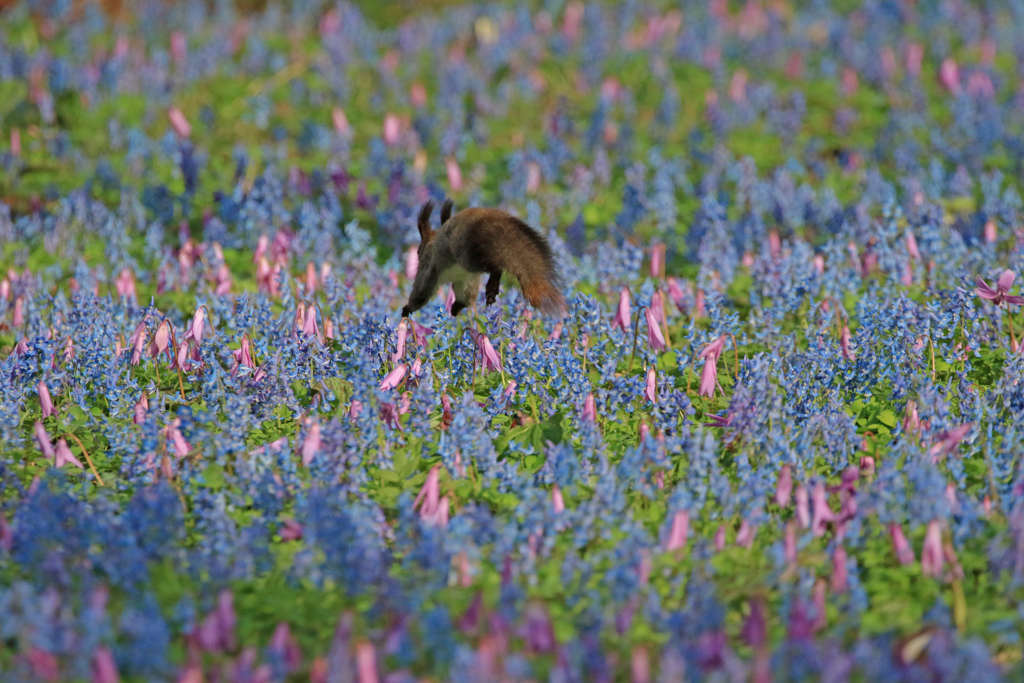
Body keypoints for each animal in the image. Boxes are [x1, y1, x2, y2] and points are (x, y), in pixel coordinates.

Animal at [399, 198, 565, 319]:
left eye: (418, 250)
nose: (417, 256)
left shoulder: (428, 269)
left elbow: (421, 292)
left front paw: (407, 309)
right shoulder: (465, 278)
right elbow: (465, 293)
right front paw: (457, 307)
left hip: (468, 256)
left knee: (496, 266)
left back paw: (492, 286)